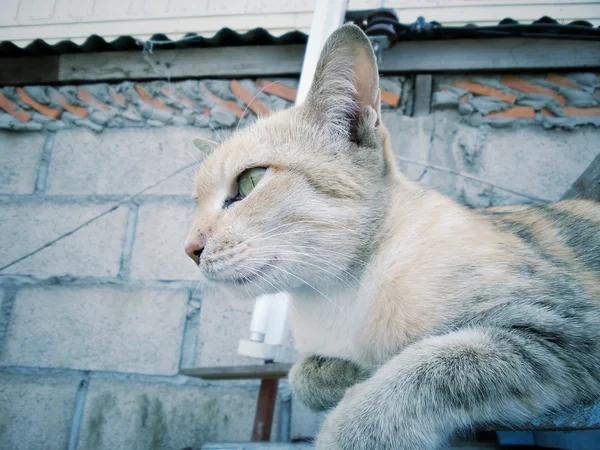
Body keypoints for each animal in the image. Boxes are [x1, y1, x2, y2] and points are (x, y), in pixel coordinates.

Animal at [185, 23, 600, 450]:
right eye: (196, 202)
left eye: (250, 182)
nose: (190, 249)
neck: (342, 293)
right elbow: (302, 376)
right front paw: (350, 372)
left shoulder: (564, 328)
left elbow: (425, 368)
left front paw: (354, 426)